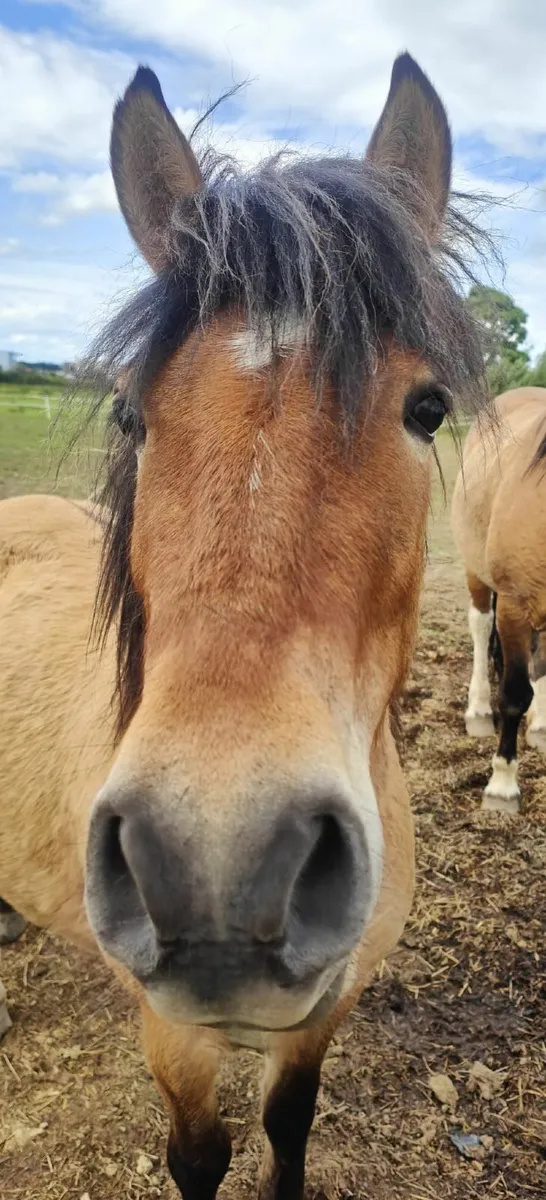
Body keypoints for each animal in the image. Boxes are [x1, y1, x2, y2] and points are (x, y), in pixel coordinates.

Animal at [0, 54, 489, 1199]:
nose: (219, 871)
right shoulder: (172, 1036)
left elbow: (289, 1123)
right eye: (132, 413)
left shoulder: (327, 1005)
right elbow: (200, 1156)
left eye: (428, 409)